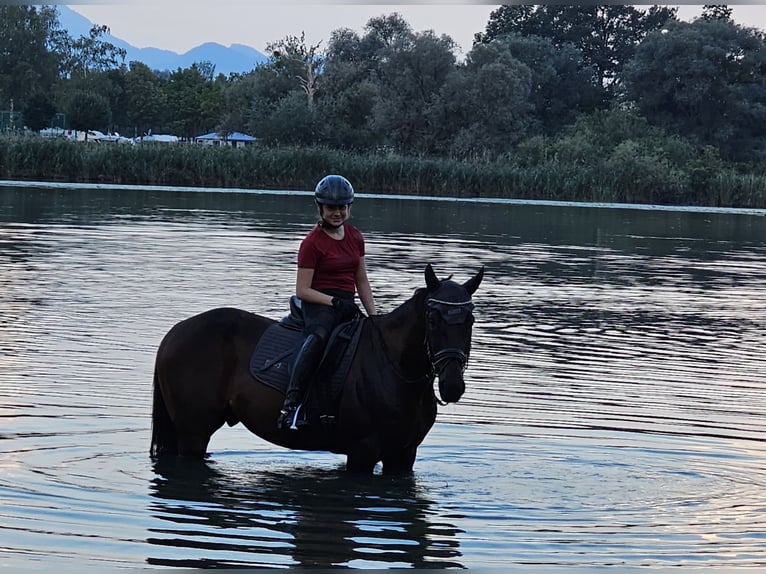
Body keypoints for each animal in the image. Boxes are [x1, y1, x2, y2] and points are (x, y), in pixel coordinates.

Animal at [152, 266, 486, 476]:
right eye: (432, 319)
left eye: (469, 320)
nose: (453, 385)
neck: (394, 367)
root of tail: (175, 332)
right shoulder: (362, 451)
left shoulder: (403, 455)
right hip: (193, 432)